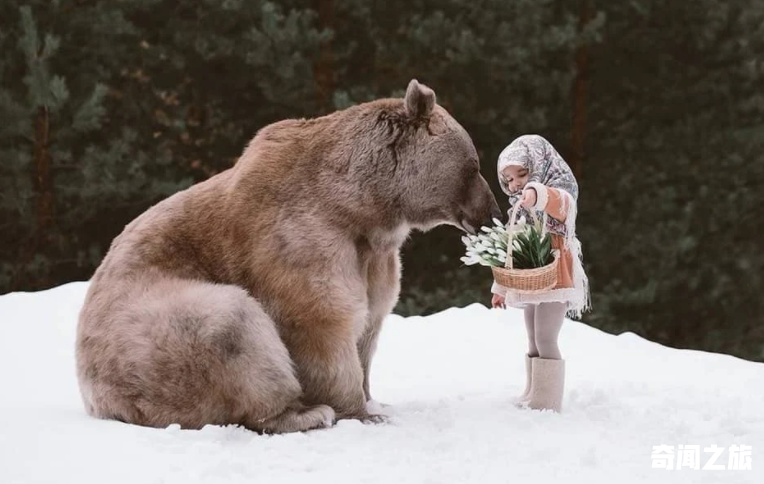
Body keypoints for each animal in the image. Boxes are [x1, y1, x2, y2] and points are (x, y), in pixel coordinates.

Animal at [76, 80, 502, 434]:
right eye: (474, 166)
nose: (491, 213)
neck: (362, 207)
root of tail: (97, 402)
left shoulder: (374, 258)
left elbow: (371, 320)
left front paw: (374, 399)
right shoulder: (302, 236)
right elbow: (322, 318)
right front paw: (360, 411)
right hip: (149, 334)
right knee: (232, 327)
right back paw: (302, 413)